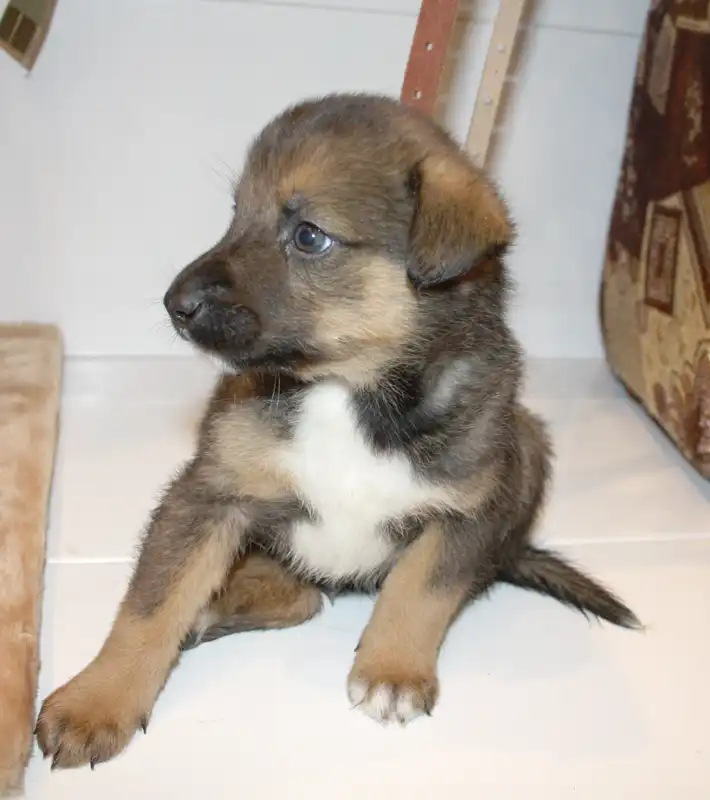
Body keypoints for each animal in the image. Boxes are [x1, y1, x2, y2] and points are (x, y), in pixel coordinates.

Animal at [36, 93, 639, 770]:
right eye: (237, 213)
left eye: (308, 236)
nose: (175, 304)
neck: (346, 391)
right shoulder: (209, 492)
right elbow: (150, 606)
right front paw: (97, 701)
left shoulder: (471, 509)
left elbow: (420, 590)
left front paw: (393, 671)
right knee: (286, 591)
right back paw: (216, 605)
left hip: (529, 444)